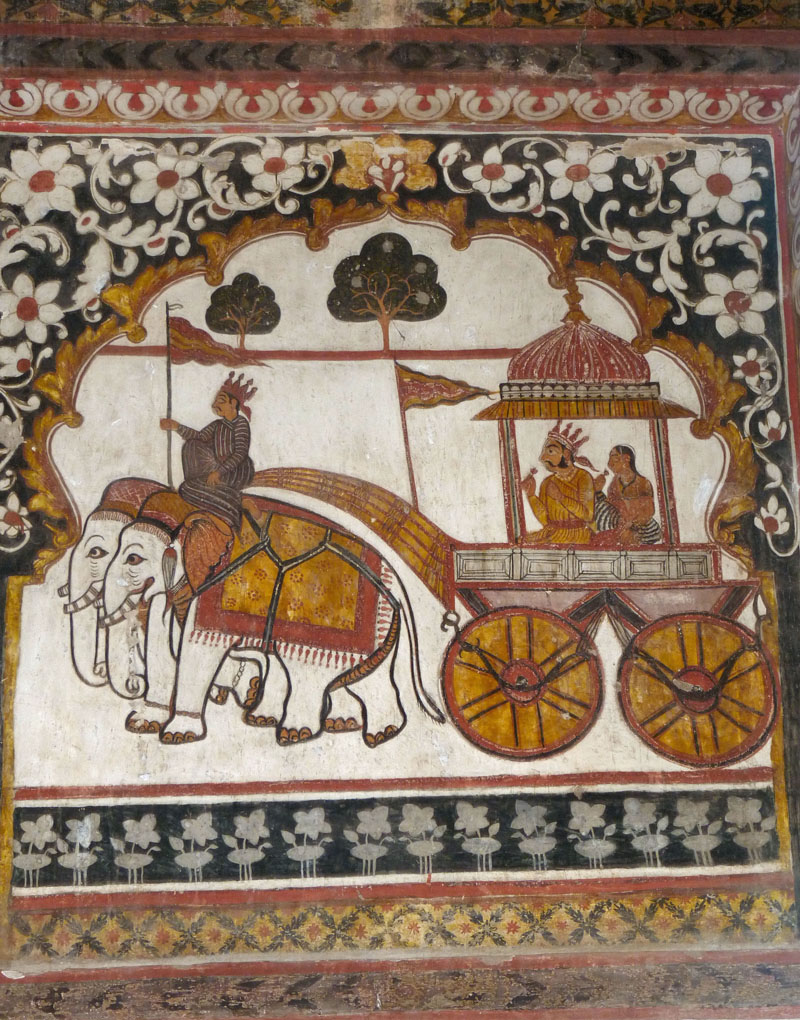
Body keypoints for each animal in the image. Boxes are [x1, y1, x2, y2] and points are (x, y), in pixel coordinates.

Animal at [100, 493, 444, 746]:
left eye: (133, 558)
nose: (132, 684)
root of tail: (395, 581)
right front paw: (145, 722)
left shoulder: (206, 594)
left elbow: (196, 653)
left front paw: (177, 734)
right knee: (366, 677)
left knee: (309, 672)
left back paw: (295, 733)